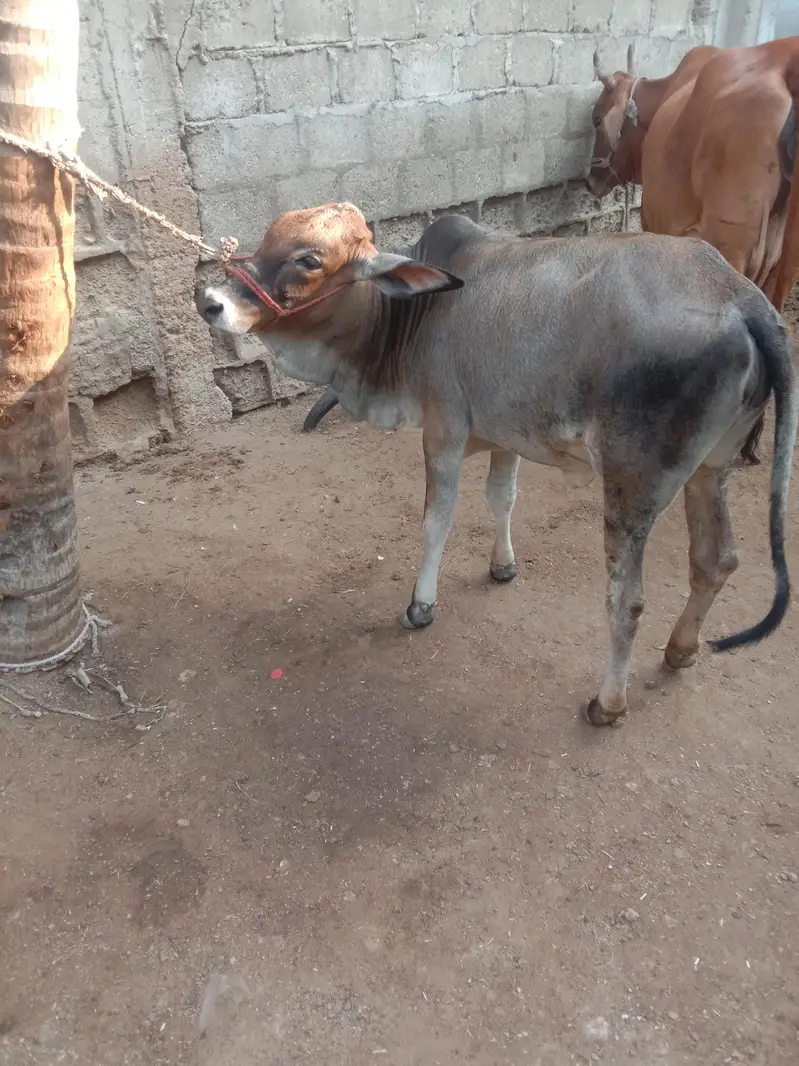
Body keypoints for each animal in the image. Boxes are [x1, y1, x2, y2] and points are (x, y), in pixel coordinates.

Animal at [195, 202, 797, 727]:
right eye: (265, 240)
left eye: (309, 260)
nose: (211, 299)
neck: (411, 316)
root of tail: (743, 297)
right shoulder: (504, 432)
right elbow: (501, 498)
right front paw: (502, 566)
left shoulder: (443, 430)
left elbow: (436, 520)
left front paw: (420, 606)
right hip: (710, 470)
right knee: (716, 560)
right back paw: (680, 649)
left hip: (634, 483)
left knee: (627, 600)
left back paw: (608, 703)